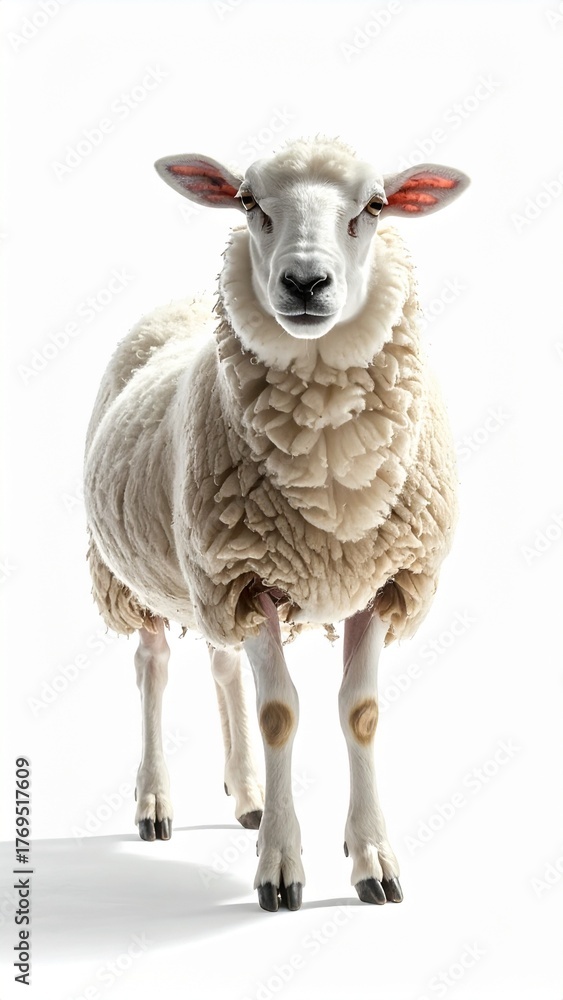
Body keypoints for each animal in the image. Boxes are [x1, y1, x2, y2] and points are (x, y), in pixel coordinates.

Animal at [84, 136, 469, 912]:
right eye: (248, 203)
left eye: (374, 207)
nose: (305, 282)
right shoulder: (252, 576)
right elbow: (279, 714)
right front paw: (280, 869)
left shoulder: (378, 578)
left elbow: (359, 712)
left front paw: (372, 858)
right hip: (135, 577)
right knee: (152, 667)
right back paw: (155, 804)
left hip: (203, 573)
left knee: (222, 664)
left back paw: (250, 796)